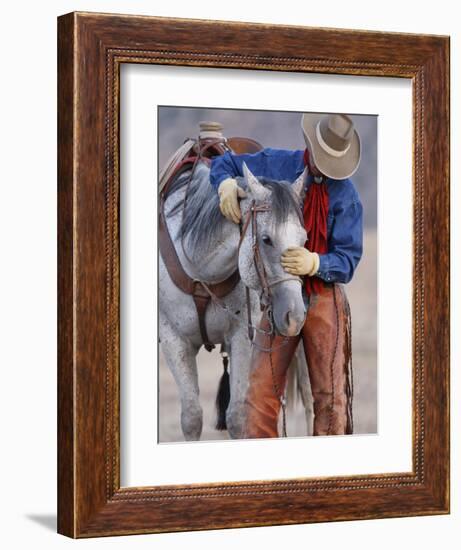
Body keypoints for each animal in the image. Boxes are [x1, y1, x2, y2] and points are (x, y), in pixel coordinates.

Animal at [159, 162, 312, 442]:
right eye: (266, 239)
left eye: (304, 241)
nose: (295, 316)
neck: (201, 272)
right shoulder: (174, 340)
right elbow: (192, 417)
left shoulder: (241, 337)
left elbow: (237, 417)